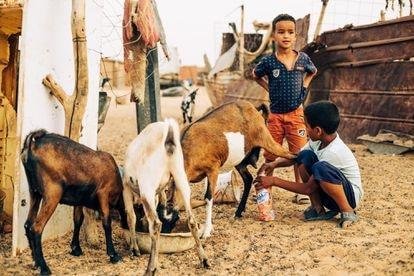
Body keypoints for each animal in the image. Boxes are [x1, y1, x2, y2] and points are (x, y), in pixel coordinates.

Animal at [121, 118, 209, 274]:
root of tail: (167, 134)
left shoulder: (126, 186)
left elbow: (131, 216)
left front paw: (134, 249)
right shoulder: (157, 193)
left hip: (146, 187)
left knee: (155, 225)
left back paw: (151, 268)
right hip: (180, 176)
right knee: (192, 221)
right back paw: (203, 259)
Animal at [180, 99, 294, 237]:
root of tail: (253, 107)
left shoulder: (213, 170)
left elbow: (208, 197)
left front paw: (207, 231)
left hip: (268, 142)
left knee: (293, 156)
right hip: (240, 161)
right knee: (248, 179)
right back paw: (238, 212)